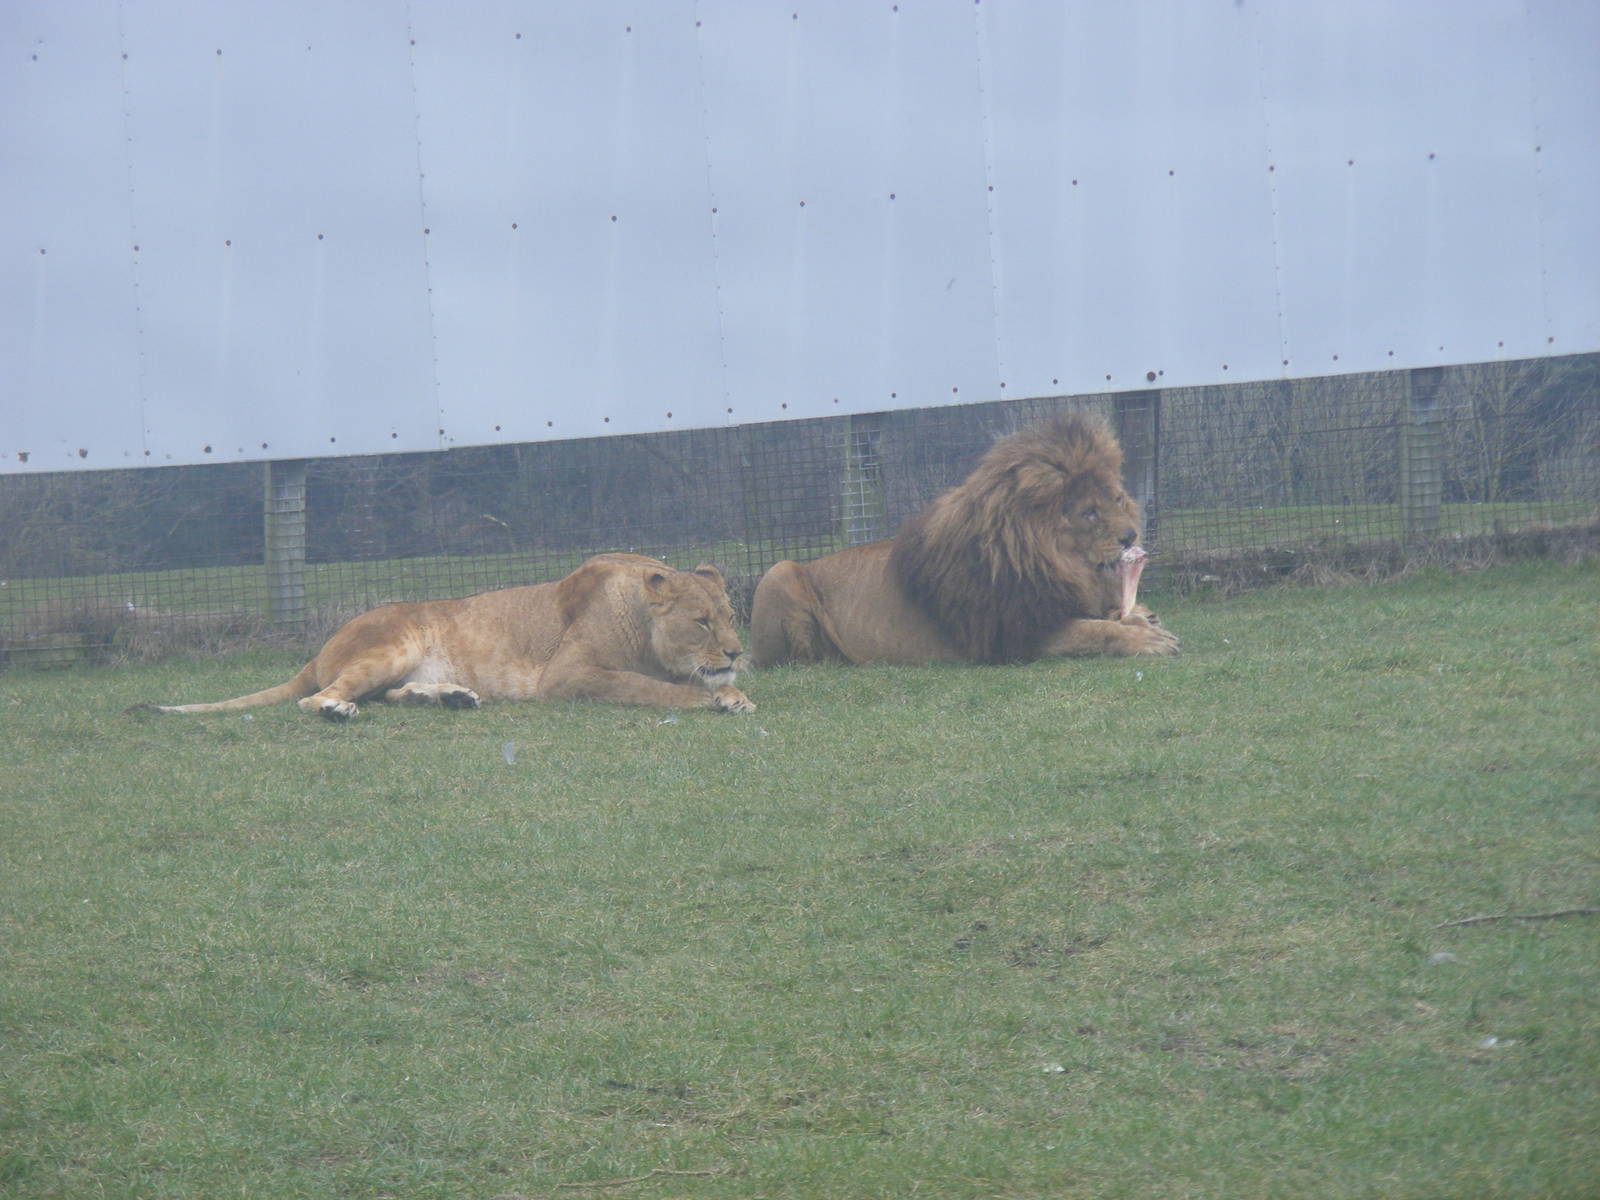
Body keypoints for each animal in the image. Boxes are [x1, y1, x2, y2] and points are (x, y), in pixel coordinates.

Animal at [149, 554, 755, 720]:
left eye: (731, 614)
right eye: (701, 620)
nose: (736, 652)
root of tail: (319, 650)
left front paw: (733, 692)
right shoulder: (568, 677)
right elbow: (642, 687)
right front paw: (709, 698)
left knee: (388, 694)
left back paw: (450, 697)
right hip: (394, 643)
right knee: (317, 696)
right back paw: (338, 711)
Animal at [749, 411, 1178, 666]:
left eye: (1117, 499)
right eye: (1089, 512)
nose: (1130, 535)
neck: (1049, 560)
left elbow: (1103, 617)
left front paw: (1143, 618)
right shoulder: (1012, 637)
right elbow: (1096, 631)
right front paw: (1150, 639)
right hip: (780, 570)